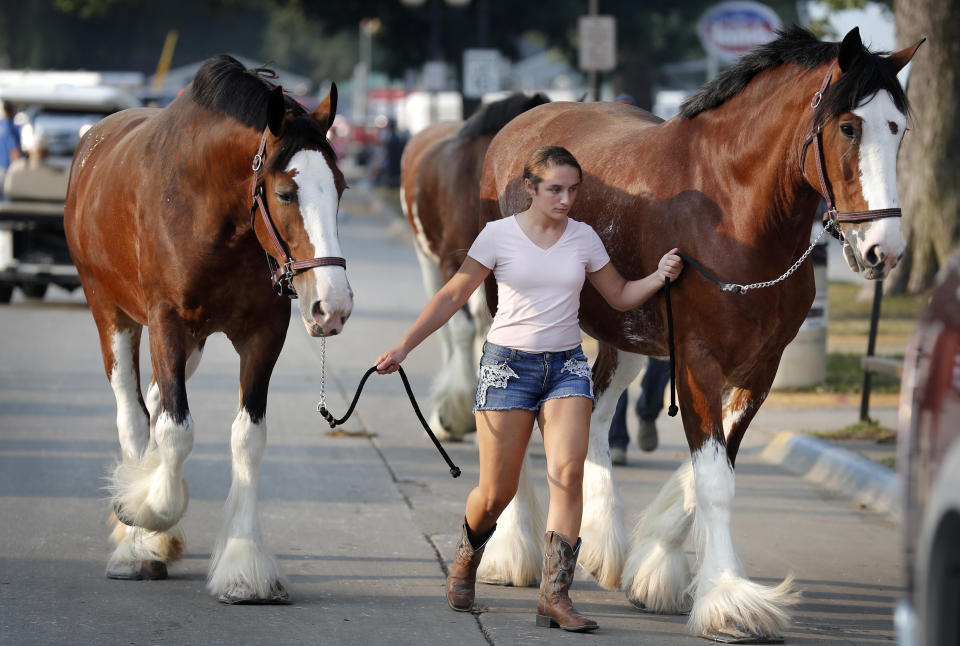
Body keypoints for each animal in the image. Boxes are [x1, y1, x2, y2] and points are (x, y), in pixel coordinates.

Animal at [65, 55, 354, 608]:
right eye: (285, 192)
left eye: (342, 189)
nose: (333, 306)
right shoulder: (167, 324)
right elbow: (175, 432)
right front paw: (143, 514)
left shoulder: (263, 334)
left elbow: (247, 438)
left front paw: (244, 566)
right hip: (112, 314)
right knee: (134, 416)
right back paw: (136, 544)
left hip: (194, 341)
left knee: (154, 401)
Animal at [480, 29, 924, 644]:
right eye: (848, 127)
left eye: (897, 127)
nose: (885, 250)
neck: (733, 212)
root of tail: (524, 124)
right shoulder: (697, 361)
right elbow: (713, 480)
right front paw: (728, 598)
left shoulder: (759, 369)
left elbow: (711, 468)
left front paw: (657, 566)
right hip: (508, 318)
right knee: (511, 423)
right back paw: (511, 552)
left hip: (627, 337)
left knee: (595, 415)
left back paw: (603, 544)